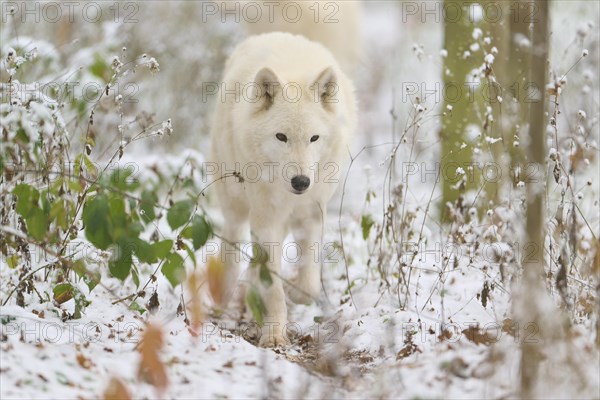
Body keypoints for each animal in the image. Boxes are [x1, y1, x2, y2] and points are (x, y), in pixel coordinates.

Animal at [210, 32, 356, 346]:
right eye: (281, 137)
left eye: (314, 138)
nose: (301, 182)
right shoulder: (266, 218)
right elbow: (272, 286)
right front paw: (275, 335)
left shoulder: (311, 215)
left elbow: (310, 283)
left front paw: (292, 292)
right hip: (235, 204)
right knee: (231, 246)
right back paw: (223, 298)